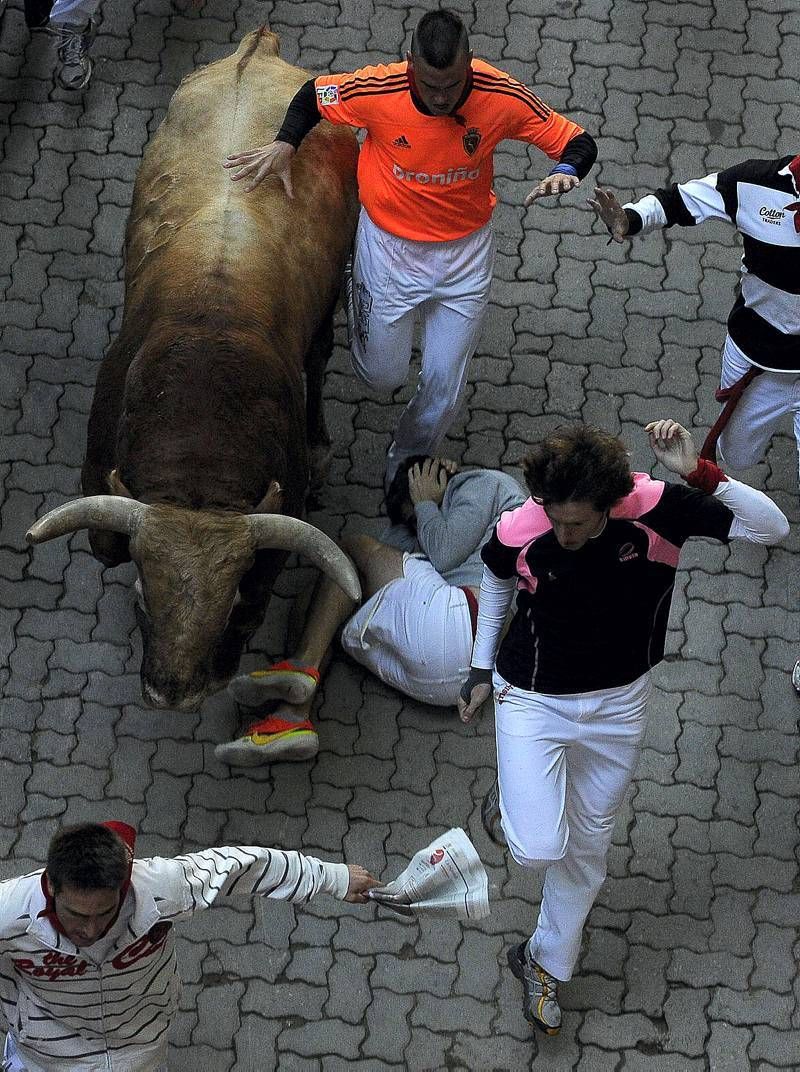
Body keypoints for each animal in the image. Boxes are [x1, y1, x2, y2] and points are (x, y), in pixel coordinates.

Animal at [26, 29, 360, 711]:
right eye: (142, 597)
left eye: (227, 605)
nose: (173, 691)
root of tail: (258, 49)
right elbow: (106, 547)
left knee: (320, 356)